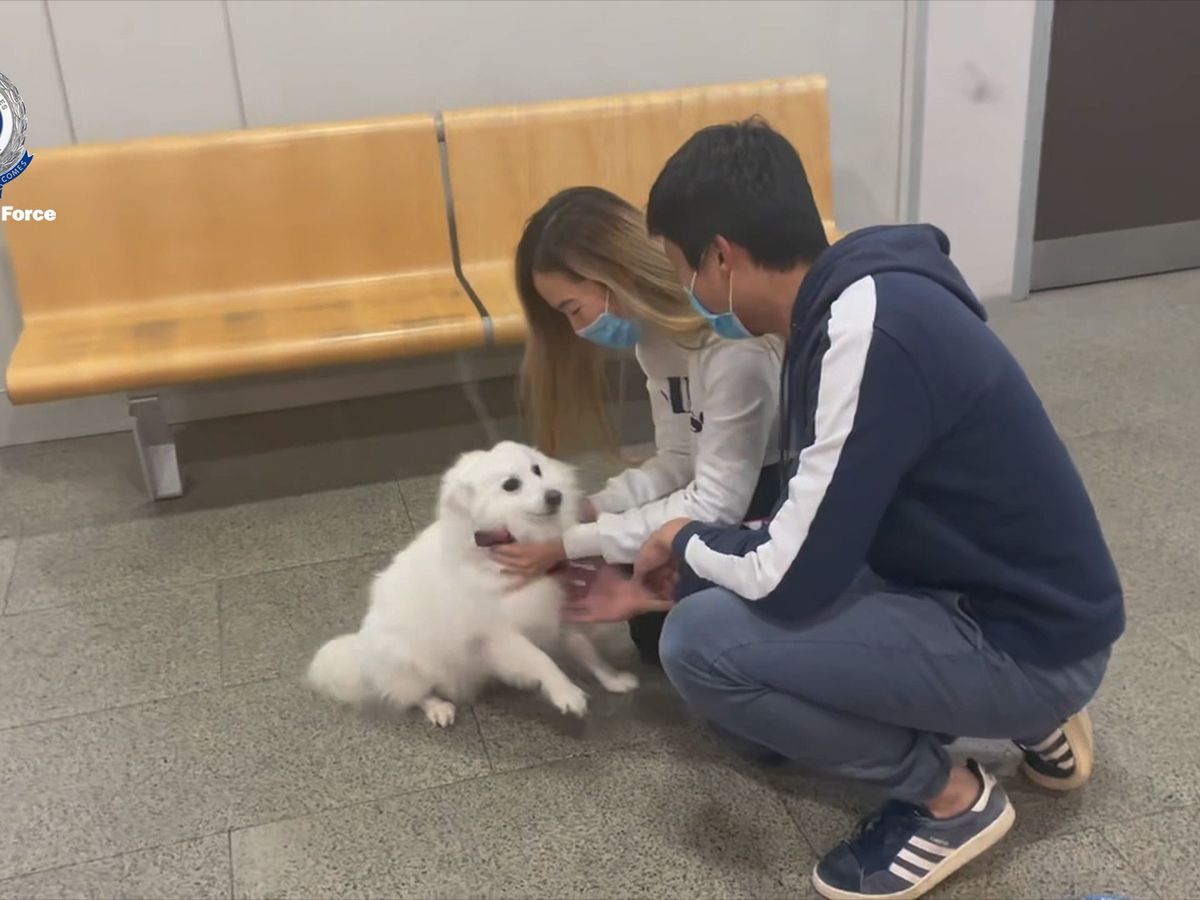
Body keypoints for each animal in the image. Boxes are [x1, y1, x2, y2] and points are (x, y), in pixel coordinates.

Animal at [307, 441, 638, 729]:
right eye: (511, 485)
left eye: (537, 470)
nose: (555, 495)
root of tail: (361, 652)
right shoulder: (500, 634)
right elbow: (542, 660)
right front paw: (567, 694)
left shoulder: (557, 612)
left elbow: (587, 651)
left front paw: (613, 679)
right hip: (413, 663)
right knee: (415, 695)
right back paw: (439, 708)